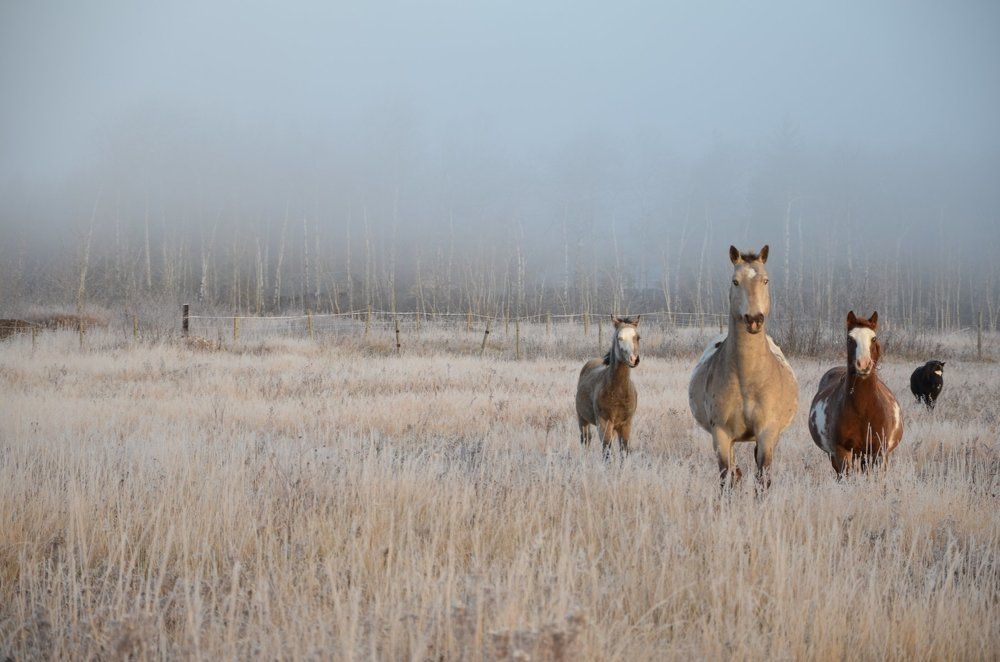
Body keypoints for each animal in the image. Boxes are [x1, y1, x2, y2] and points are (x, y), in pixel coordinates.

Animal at [576, 316, 640, 458]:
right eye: (619, 337)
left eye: (638, 337)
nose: (634, 359)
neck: (618, 392)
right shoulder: (604, 423)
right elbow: (606, 451)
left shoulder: (626, 424)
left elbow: (624, 450)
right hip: (582, 419)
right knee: (586, 440)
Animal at [688, 245, 798, 488]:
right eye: (735, 281)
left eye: (766, 280)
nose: (754, 319)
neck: (747, 378)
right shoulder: (721, 434)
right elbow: (726, 478)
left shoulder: (767, 433)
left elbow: (762, 478)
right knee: (735, 473)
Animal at [808, 311, 904, 476]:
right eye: (850, 339)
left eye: (873, 338)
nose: (863, 365)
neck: (863, 408)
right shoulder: (842, 452)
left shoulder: (878, 452)